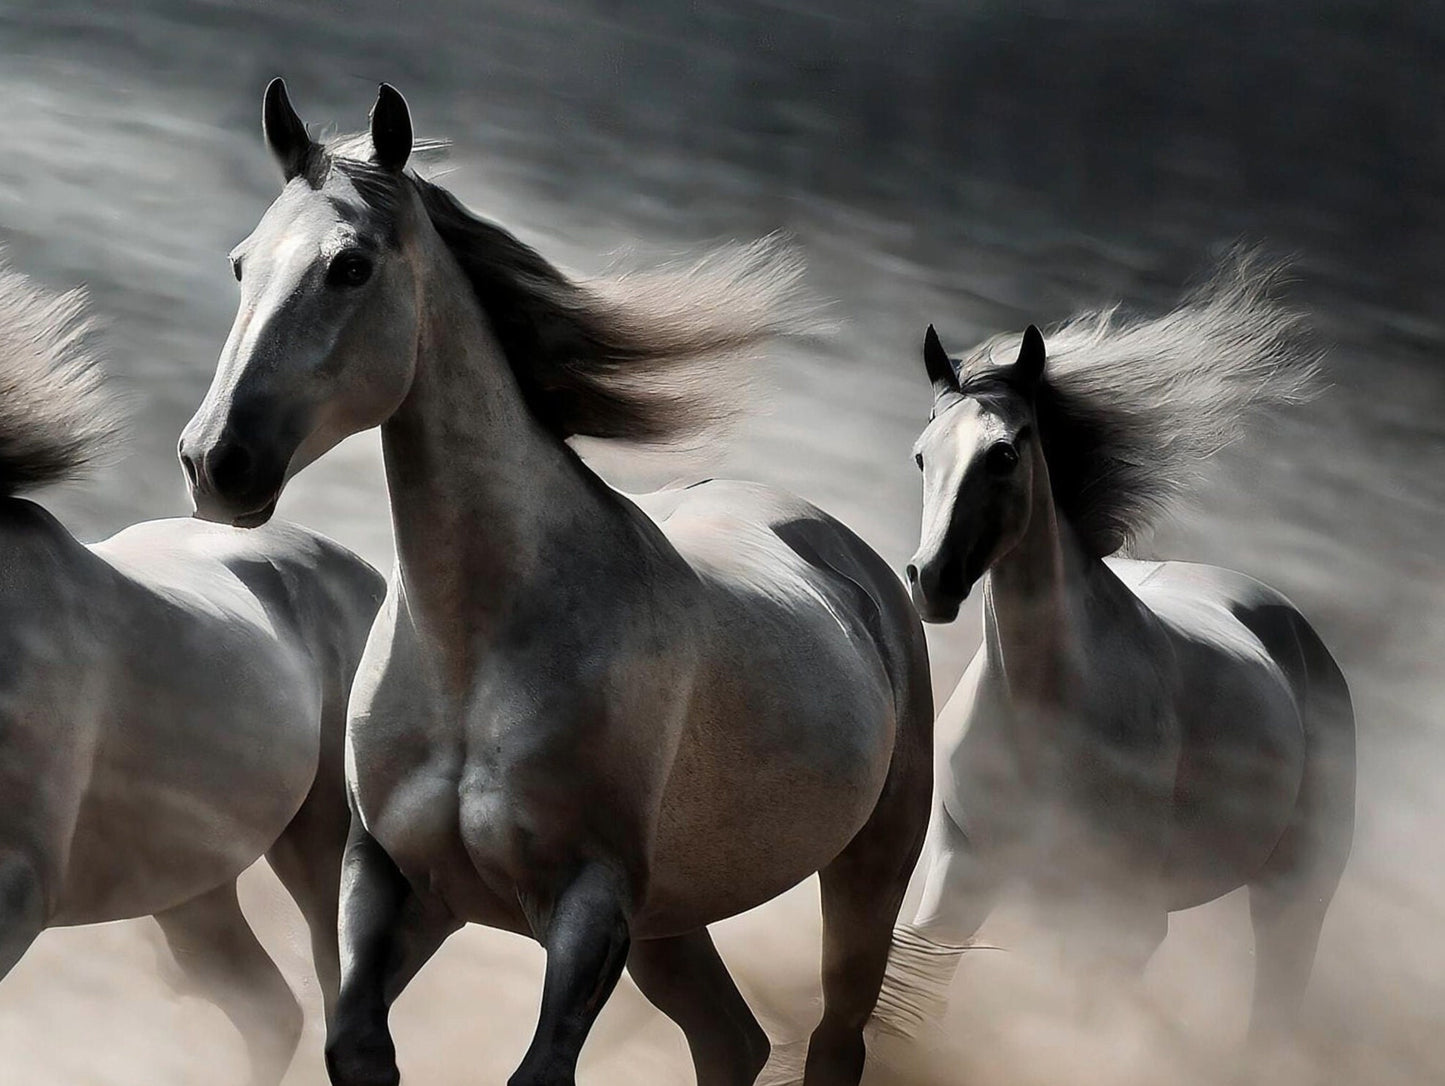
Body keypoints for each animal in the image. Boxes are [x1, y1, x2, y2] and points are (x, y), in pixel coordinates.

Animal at [178, 79, 933, 1086]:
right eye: (240, 266)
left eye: (350, 267)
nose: (215, 463)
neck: (477, 654)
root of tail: (849, 558)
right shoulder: (398, 881)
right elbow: (354, 1039)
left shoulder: (586, 910)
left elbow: (538, 1070)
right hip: (670, 925)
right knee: (729, 1041)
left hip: (863, 876)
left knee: (830, 1040)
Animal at [871, 262, 1356, 1045]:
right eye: (922, 456)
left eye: (1003, 454)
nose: (929, 581)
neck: (1044, 716)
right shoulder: (957, 878)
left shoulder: (1122, 929)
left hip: (1294, 898)